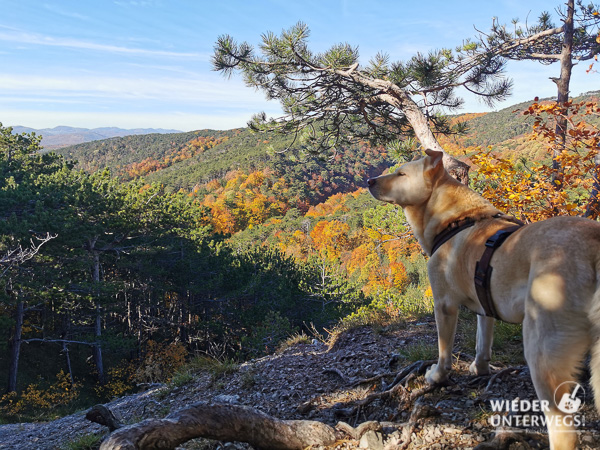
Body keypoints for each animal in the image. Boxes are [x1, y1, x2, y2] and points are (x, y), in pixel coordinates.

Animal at [368, 149, 596, 448]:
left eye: (401, 173)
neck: (455, 218)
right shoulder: (484, 302)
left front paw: (437, 377)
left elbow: (444, 352)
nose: (369, 181)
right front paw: (481, 368)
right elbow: (482, 342)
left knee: (562, 426)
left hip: (542, 351)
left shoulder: (444, 305)